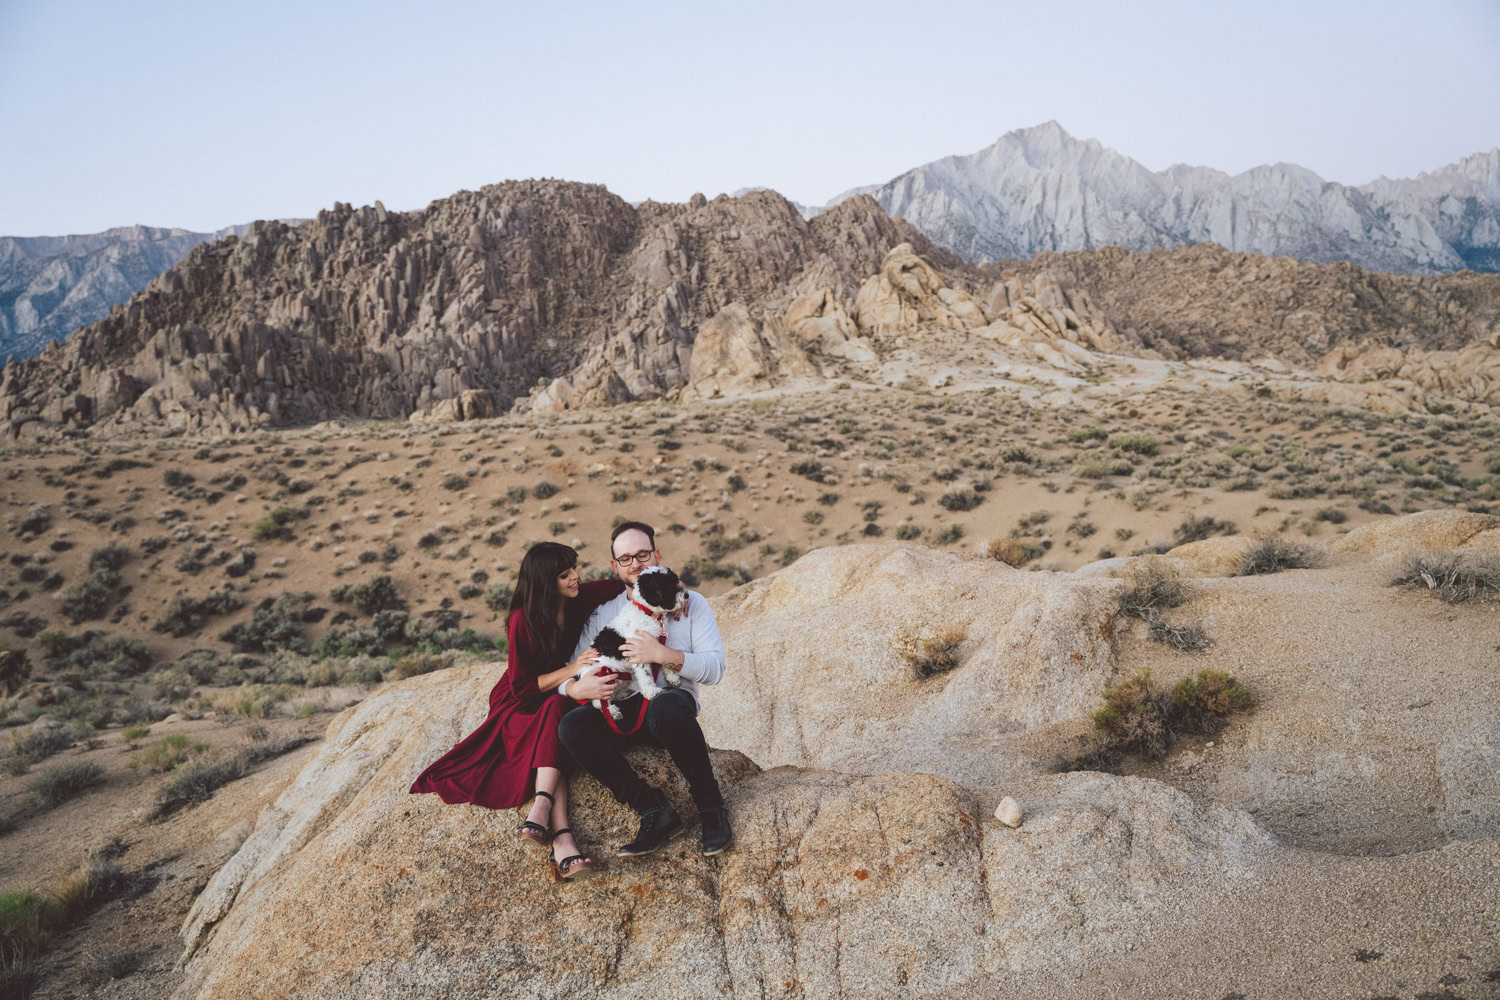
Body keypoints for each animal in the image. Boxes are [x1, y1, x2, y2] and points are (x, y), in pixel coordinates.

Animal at [576, 566, 687, 731]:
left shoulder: (655, 645)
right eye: (668, 587)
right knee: (598, 702)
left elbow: (664, 658)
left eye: (676, 581)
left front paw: (672, 678)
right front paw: (652, 691)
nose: (686, 595)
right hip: (602, 678)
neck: (647, 612)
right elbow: (646, 675)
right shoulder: (637, 652)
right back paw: (612, 711)